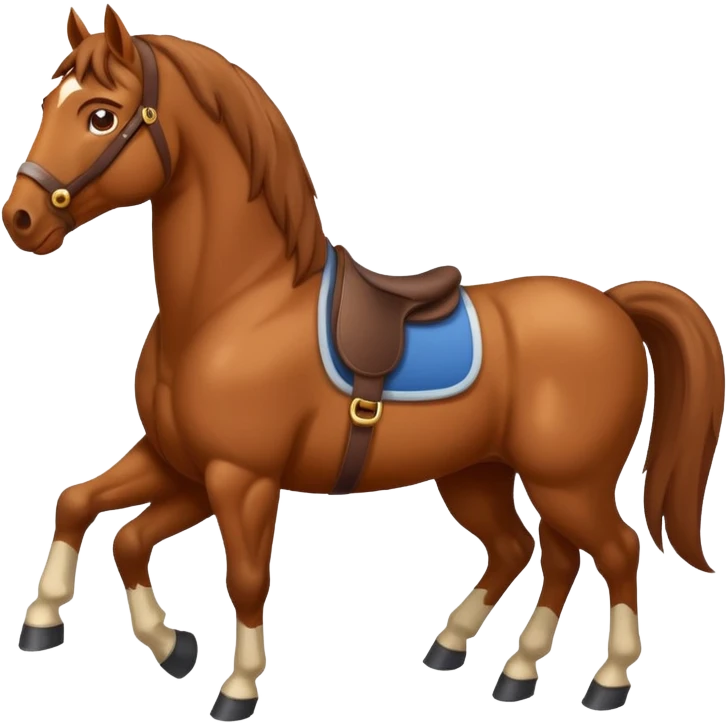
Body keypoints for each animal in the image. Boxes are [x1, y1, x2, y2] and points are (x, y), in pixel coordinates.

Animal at [3, 5, 724, 721]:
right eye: (49, 101)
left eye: (100, 115)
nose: (21, 218)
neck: (238, 302)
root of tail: (611, 304)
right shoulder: (180, 463)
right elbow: (88, 511)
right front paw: (123, 635)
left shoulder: (240, 477)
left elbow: (243, 576)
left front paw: (236, 685)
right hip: (481, 475)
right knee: (534, 551)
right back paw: (490, 661)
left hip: (568, 482)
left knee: (613, 551)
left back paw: (605, 678)